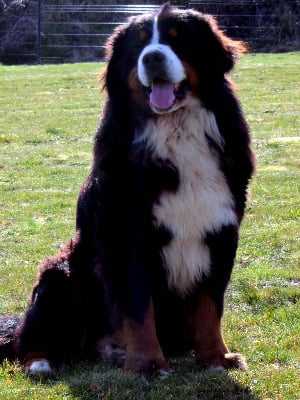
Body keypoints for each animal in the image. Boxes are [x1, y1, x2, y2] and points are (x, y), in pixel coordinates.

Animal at [7, 3, 254, 376]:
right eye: (139, 45)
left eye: (177, 39)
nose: (152, 58)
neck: (175, 132)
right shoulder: (125, 236)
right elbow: (138, 309)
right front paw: (147, 363)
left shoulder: (220, 231)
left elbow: (210, 306)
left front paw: (216, 358)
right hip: (60, 272)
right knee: (33, 337)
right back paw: (43, 362)